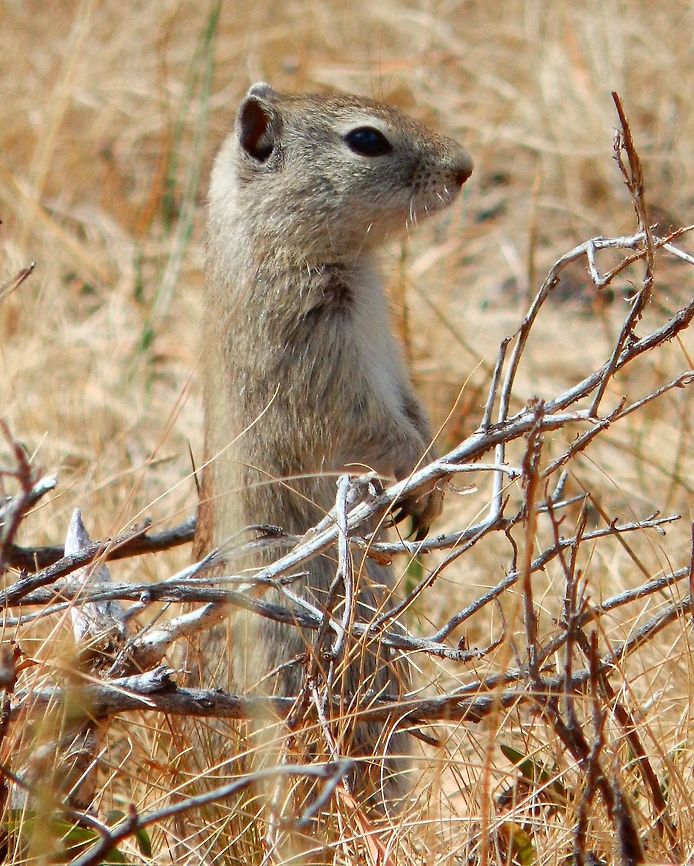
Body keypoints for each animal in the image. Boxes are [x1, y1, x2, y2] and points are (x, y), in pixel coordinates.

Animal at [192, 82, 473, 807]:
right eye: (366, 140)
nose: (464, 168)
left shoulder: (392, 366)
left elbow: (414, 411)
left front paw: (429, 500)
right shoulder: (327, 374)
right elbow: (380, 432)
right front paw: (425, 479)